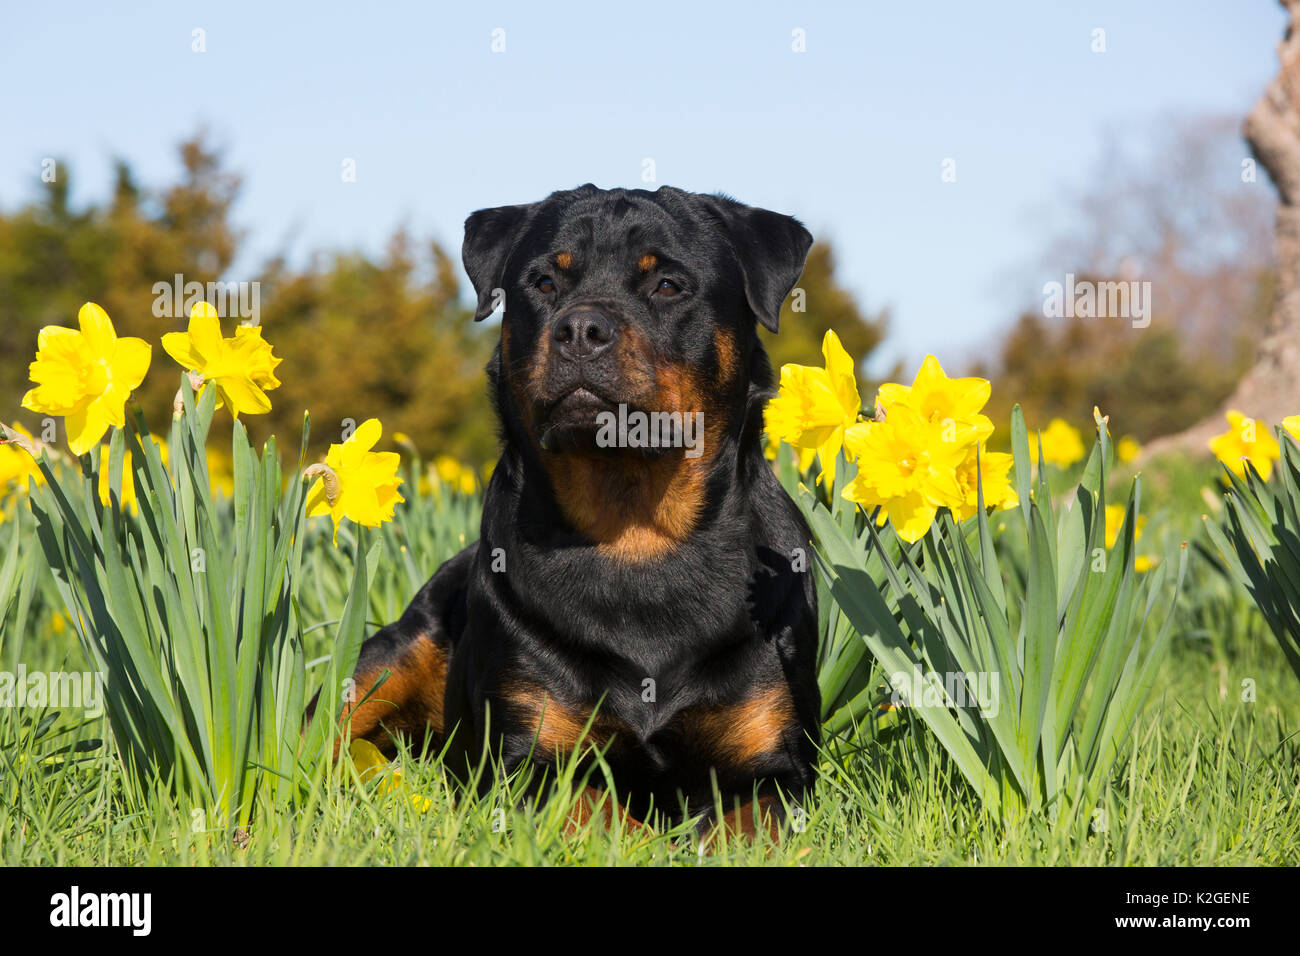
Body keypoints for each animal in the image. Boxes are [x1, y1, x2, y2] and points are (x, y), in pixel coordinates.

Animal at [327, 184, 811, 837]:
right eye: (543, 283)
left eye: (668, 285)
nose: (580, 327)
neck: (634, 535)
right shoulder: (528, 761)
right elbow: (598, 811)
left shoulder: (773, 765)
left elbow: (746, 824)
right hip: (392, 655)